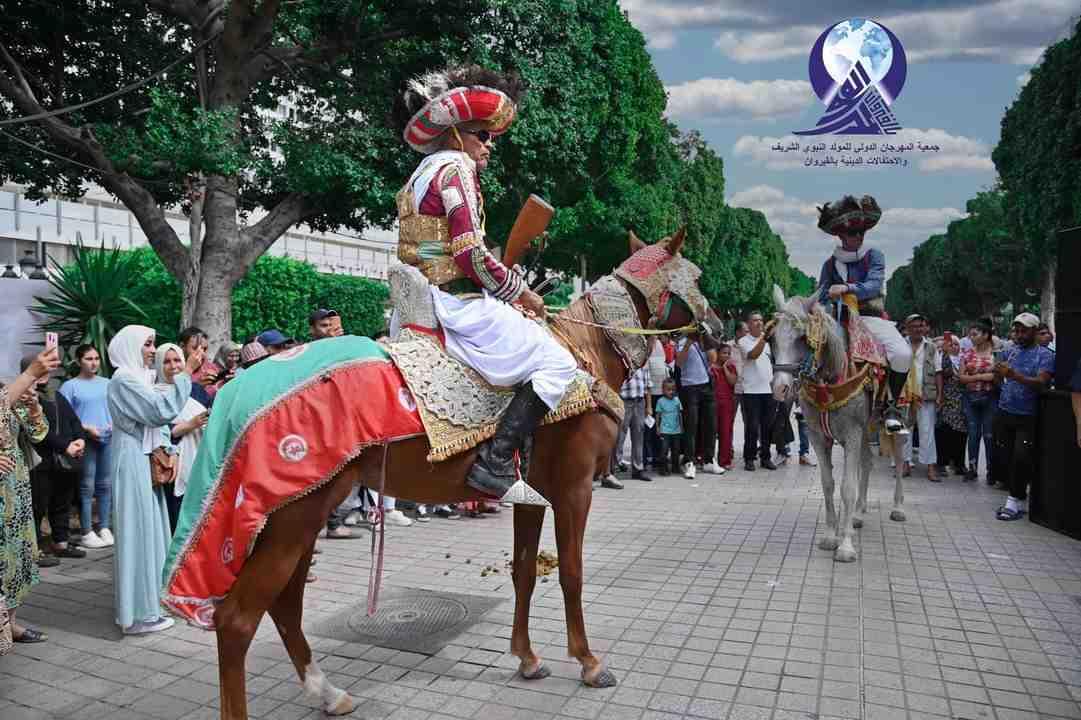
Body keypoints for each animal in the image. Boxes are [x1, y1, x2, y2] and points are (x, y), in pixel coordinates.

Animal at [208, 228, 726, 713]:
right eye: (698, 277)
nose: (720, 327)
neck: (588, 350)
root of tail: (239, 387)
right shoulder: (574, 489)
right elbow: (571, 573)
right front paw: (588, 663)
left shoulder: (533, 493)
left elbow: (524, 570)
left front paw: (527, 659)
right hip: (294, 518)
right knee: (237, 619)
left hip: (301, 515)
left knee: (285, 604)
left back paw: (328, 693)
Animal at [769, 285, 903, 562]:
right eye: (773, 339)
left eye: (802, 338)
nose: (780, 388)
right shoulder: (820, 437)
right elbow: (828, 485)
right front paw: (832, 535)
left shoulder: (851, 434)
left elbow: (847, 487)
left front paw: (846, 546)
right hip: (867, 429)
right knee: (867, 462)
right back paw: (858, 514)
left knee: (900, 459)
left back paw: (897, 507)